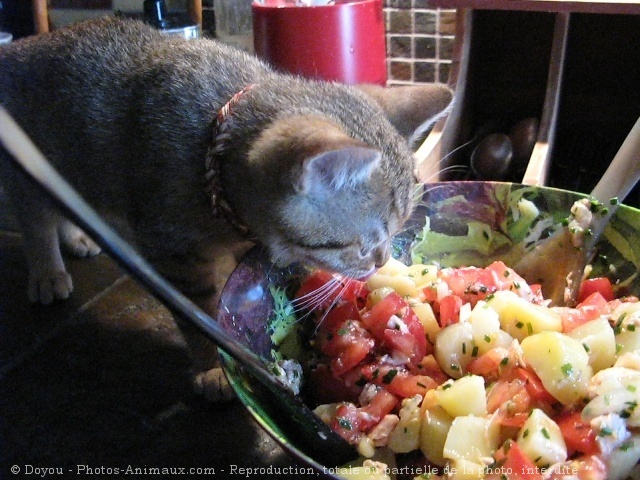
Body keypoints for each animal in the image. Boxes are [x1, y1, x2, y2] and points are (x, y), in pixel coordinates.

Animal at [1, 16, 450, 396]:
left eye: (398, 230)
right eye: (362, 246)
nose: (383, 261)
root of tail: (22, 45)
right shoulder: (174, 257)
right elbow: (198, 316)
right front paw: (211, 366)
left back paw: (78, 235)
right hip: (30, 169)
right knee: (35, 219)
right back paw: (48, 271)